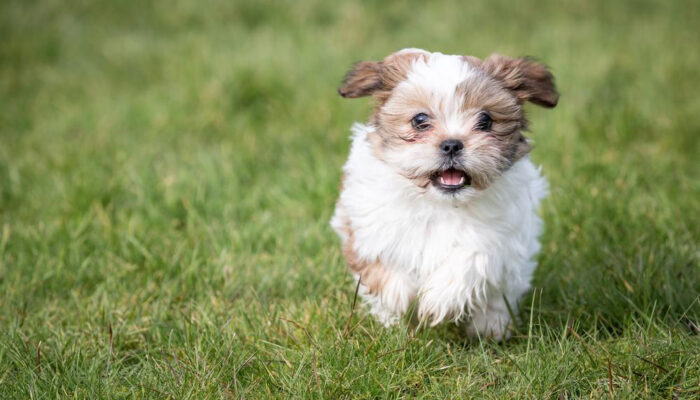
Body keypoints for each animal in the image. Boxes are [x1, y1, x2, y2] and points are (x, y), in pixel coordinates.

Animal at [330, 48, 556, 340]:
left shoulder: (503, 234)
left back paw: (491, 329)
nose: (452, 144)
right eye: (420, 120)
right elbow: (382, 261)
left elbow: (474, 257)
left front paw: (439, 299)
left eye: (485, 120)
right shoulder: (367, 222)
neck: (440, 204)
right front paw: (397, 296)